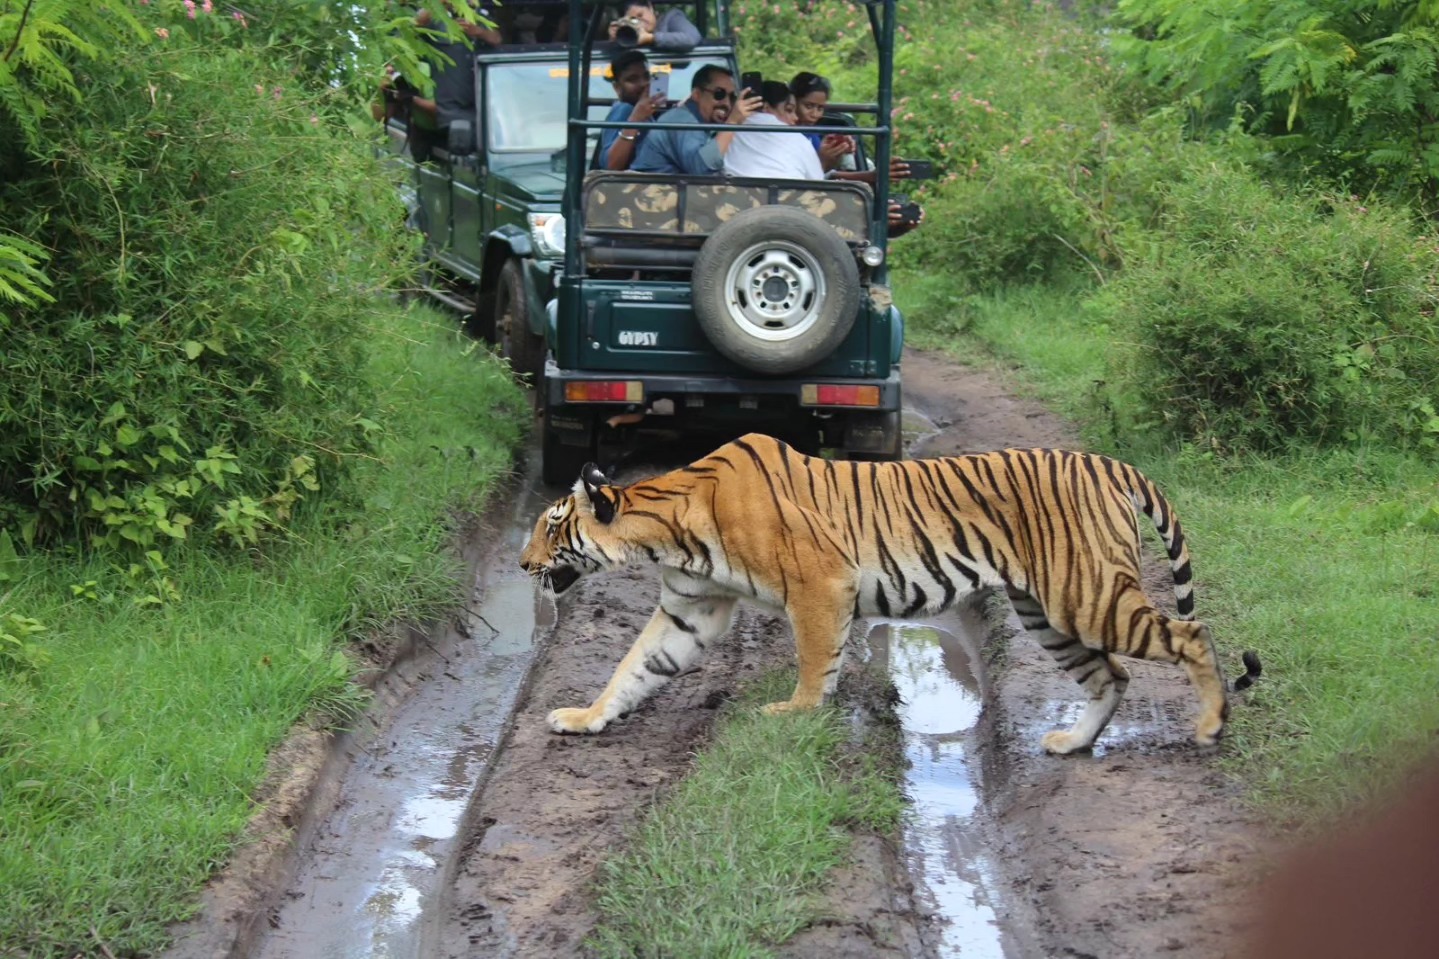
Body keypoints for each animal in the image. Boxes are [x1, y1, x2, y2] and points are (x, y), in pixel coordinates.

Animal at [519, 433, 1261, 754]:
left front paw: (795, 714)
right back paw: (1071, 743)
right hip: (1048, 613)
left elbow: (815, 660)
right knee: (1111, 676)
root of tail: (1106, 461)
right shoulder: (689, 609)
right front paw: (585, 717)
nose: (522, 563)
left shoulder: (820, 583)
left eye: (551, 524)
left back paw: (1209, 724)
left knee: (1189, 634)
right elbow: (633, 667)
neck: (665, 527)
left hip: (1088, 594)